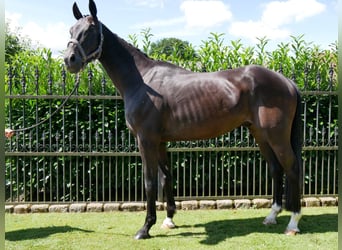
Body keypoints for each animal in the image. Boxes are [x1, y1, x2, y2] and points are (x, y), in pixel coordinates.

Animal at [64, 0, 302, 239]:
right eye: (71, 30)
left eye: (90, 30)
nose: (69, 60)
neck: (142, 81)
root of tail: (287, 81)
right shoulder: (160, 141)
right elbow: (166, 177)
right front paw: (168, 219)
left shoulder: (146, 140)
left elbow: (150, 182)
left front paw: (145, 228)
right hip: (260, 134)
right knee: (276, 168)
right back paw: (271, 216)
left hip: (276, 136)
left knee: (292, 168)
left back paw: (293, 223)